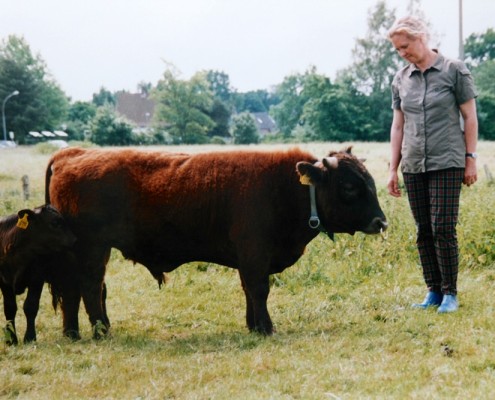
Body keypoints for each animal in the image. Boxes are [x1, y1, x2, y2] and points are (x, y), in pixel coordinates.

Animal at [45, 145, 388, 340]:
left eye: (369, 180)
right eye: (349, 186)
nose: (380, 222)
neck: (287, 186)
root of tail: (72, 153)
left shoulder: (247, 259)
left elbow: (249, 291)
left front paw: (253, 326)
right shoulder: (254, 254)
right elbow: (259, 290)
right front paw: (267, 328)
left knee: (76, 291)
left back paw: (73, 332)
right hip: (93, 249)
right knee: (91, 288)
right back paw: (101, 331)